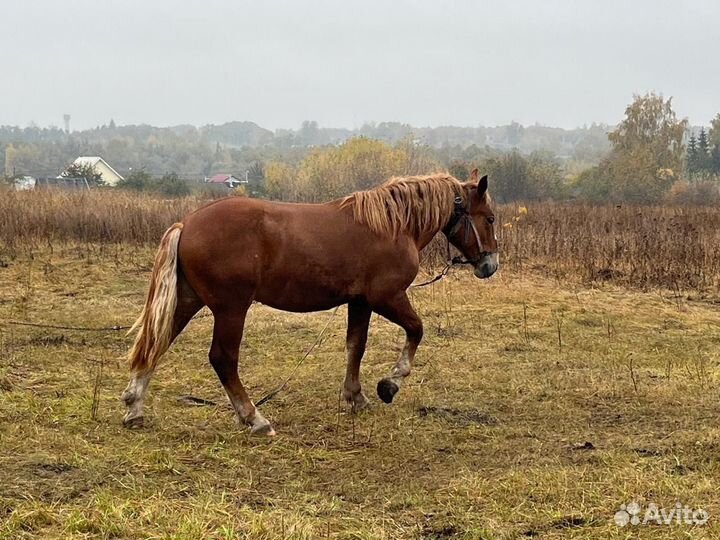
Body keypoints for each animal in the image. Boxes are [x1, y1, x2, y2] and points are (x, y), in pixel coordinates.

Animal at [121, 168, 498, 435]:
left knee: (157, 344)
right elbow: (416, 331)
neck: (393, 225)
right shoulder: (387, 297)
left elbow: (355, 346)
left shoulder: (359, 302)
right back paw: (254, 417)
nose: (489, 264)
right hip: (231, 309)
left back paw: (134, 407)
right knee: (222, 359)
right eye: (490, 218)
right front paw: (390, 384)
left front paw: (356, 396)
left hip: (188, 300)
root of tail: (187, 223)